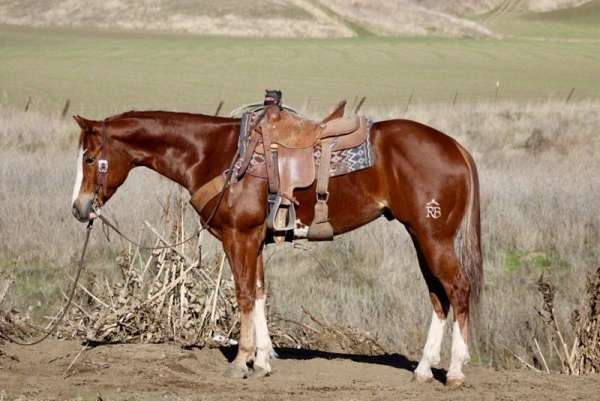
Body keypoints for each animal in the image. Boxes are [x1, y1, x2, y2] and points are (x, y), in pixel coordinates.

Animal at [71, 105, 482, 384]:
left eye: (90, 158)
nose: (79, 208)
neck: (215, 154)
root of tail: (456, 147)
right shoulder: (255, 240)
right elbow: (259, 293)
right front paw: (264, 360)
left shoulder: (239, 237)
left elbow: (243, 295)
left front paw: (242, 361)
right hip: (421, 237)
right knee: (438, 296)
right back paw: (424, 369)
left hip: (434, 238)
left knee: (458, 289)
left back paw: (456, 370)